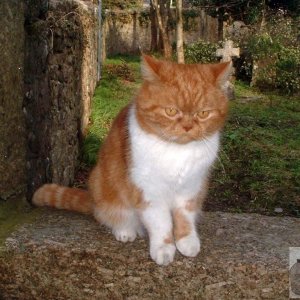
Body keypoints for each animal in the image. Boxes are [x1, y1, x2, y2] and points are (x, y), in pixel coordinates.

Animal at [33, 55, 230, 264]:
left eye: (203, 113)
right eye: (170, 111)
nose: (187, 127)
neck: (177, 151)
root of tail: (92, 199)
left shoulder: (191, 188)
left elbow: (185, 217)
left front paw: (186, 241)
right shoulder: (148, 191)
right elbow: (161, 223)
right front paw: (163, 248)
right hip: (104, 185)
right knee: (109, 215)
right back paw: (125, 230)